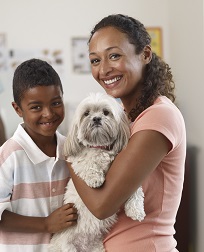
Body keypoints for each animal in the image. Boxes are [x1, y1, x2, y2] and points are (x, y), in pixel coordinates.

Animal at [48, 93, 145, 252]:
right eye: (86, 113)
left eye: (106, 112)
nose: (96, 118)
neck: (100, 148)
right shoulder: (77, 160)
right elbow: (87, 163)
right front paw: (95, 179)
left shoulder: (124, 174)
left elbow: (135, 189)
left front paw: (136, 210)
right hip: (65, 247)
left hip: (96, 248)